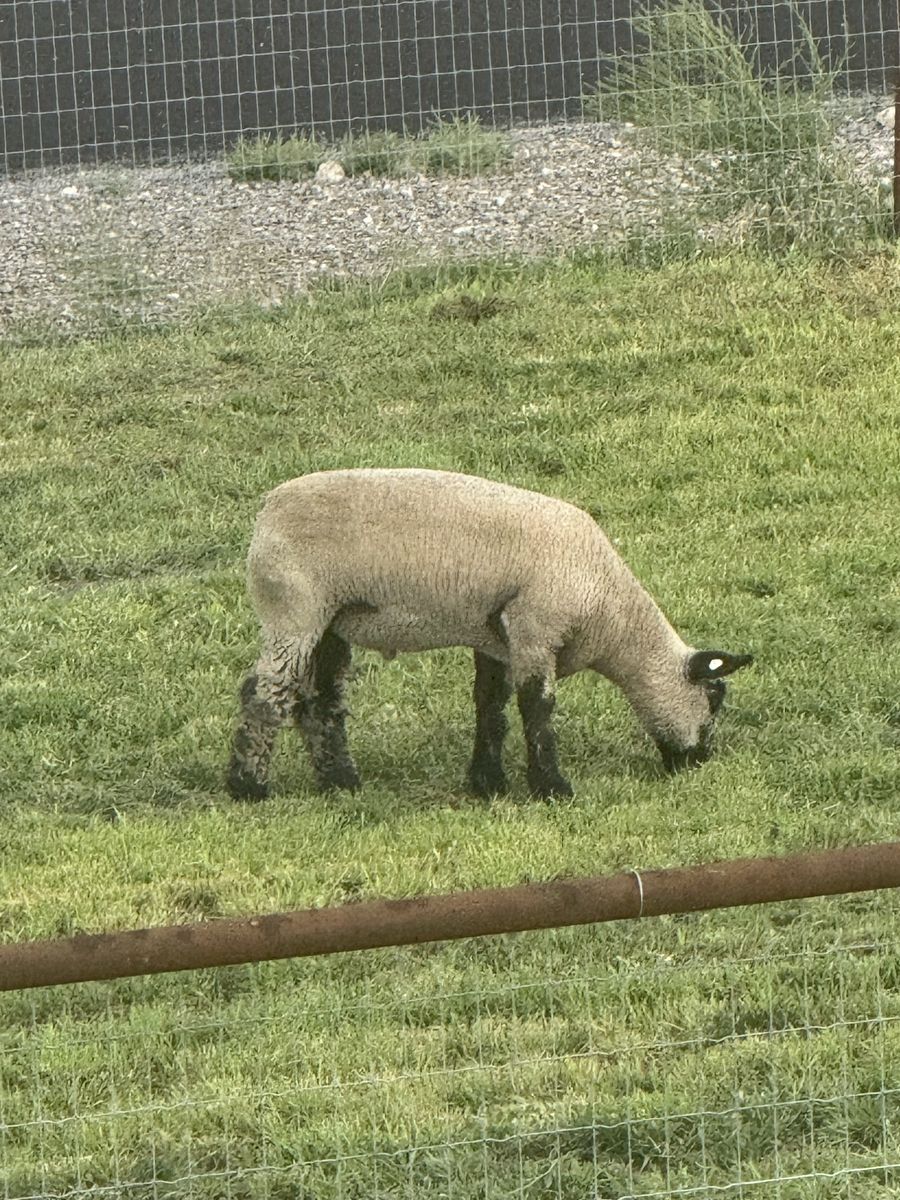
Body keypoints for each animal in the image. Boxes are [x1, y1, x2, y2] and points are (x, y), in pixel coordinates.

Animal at [226, 468, 752, 800]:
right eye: (714, 698)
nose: (699, 762)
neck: (611, 613)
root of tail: (268, 509)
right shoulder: (535, 627)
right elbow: (536, 708)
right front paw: (551, 788)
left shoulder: (494, 636)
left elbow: (490, 707)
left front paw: (488, 782)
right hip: (294, 608)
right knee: (264, 692)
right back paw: (248, 787)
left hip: (333, 620)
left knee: (322, 701)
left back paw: (341, 782)